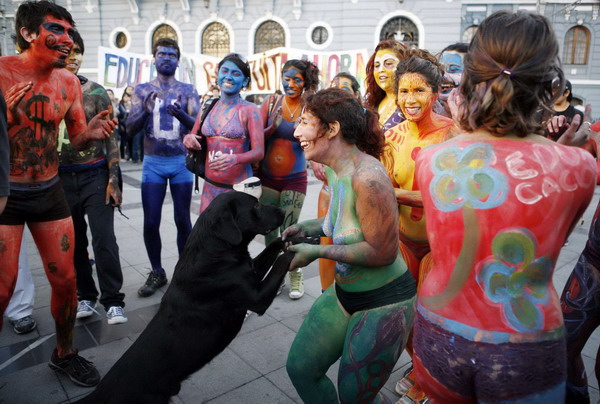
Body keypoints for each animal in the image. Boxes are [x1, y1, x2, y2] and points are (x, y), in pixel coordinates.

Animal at [76, 193, 296, 404]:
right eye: (256, 205)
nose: (284, 211)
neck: (216, 250)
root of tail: (99, 394)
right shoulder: (257, 297)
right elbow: (280, 262)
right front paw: (294, 251)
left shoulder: (252, 271)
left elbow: (272, 248)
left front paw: (291, 237)